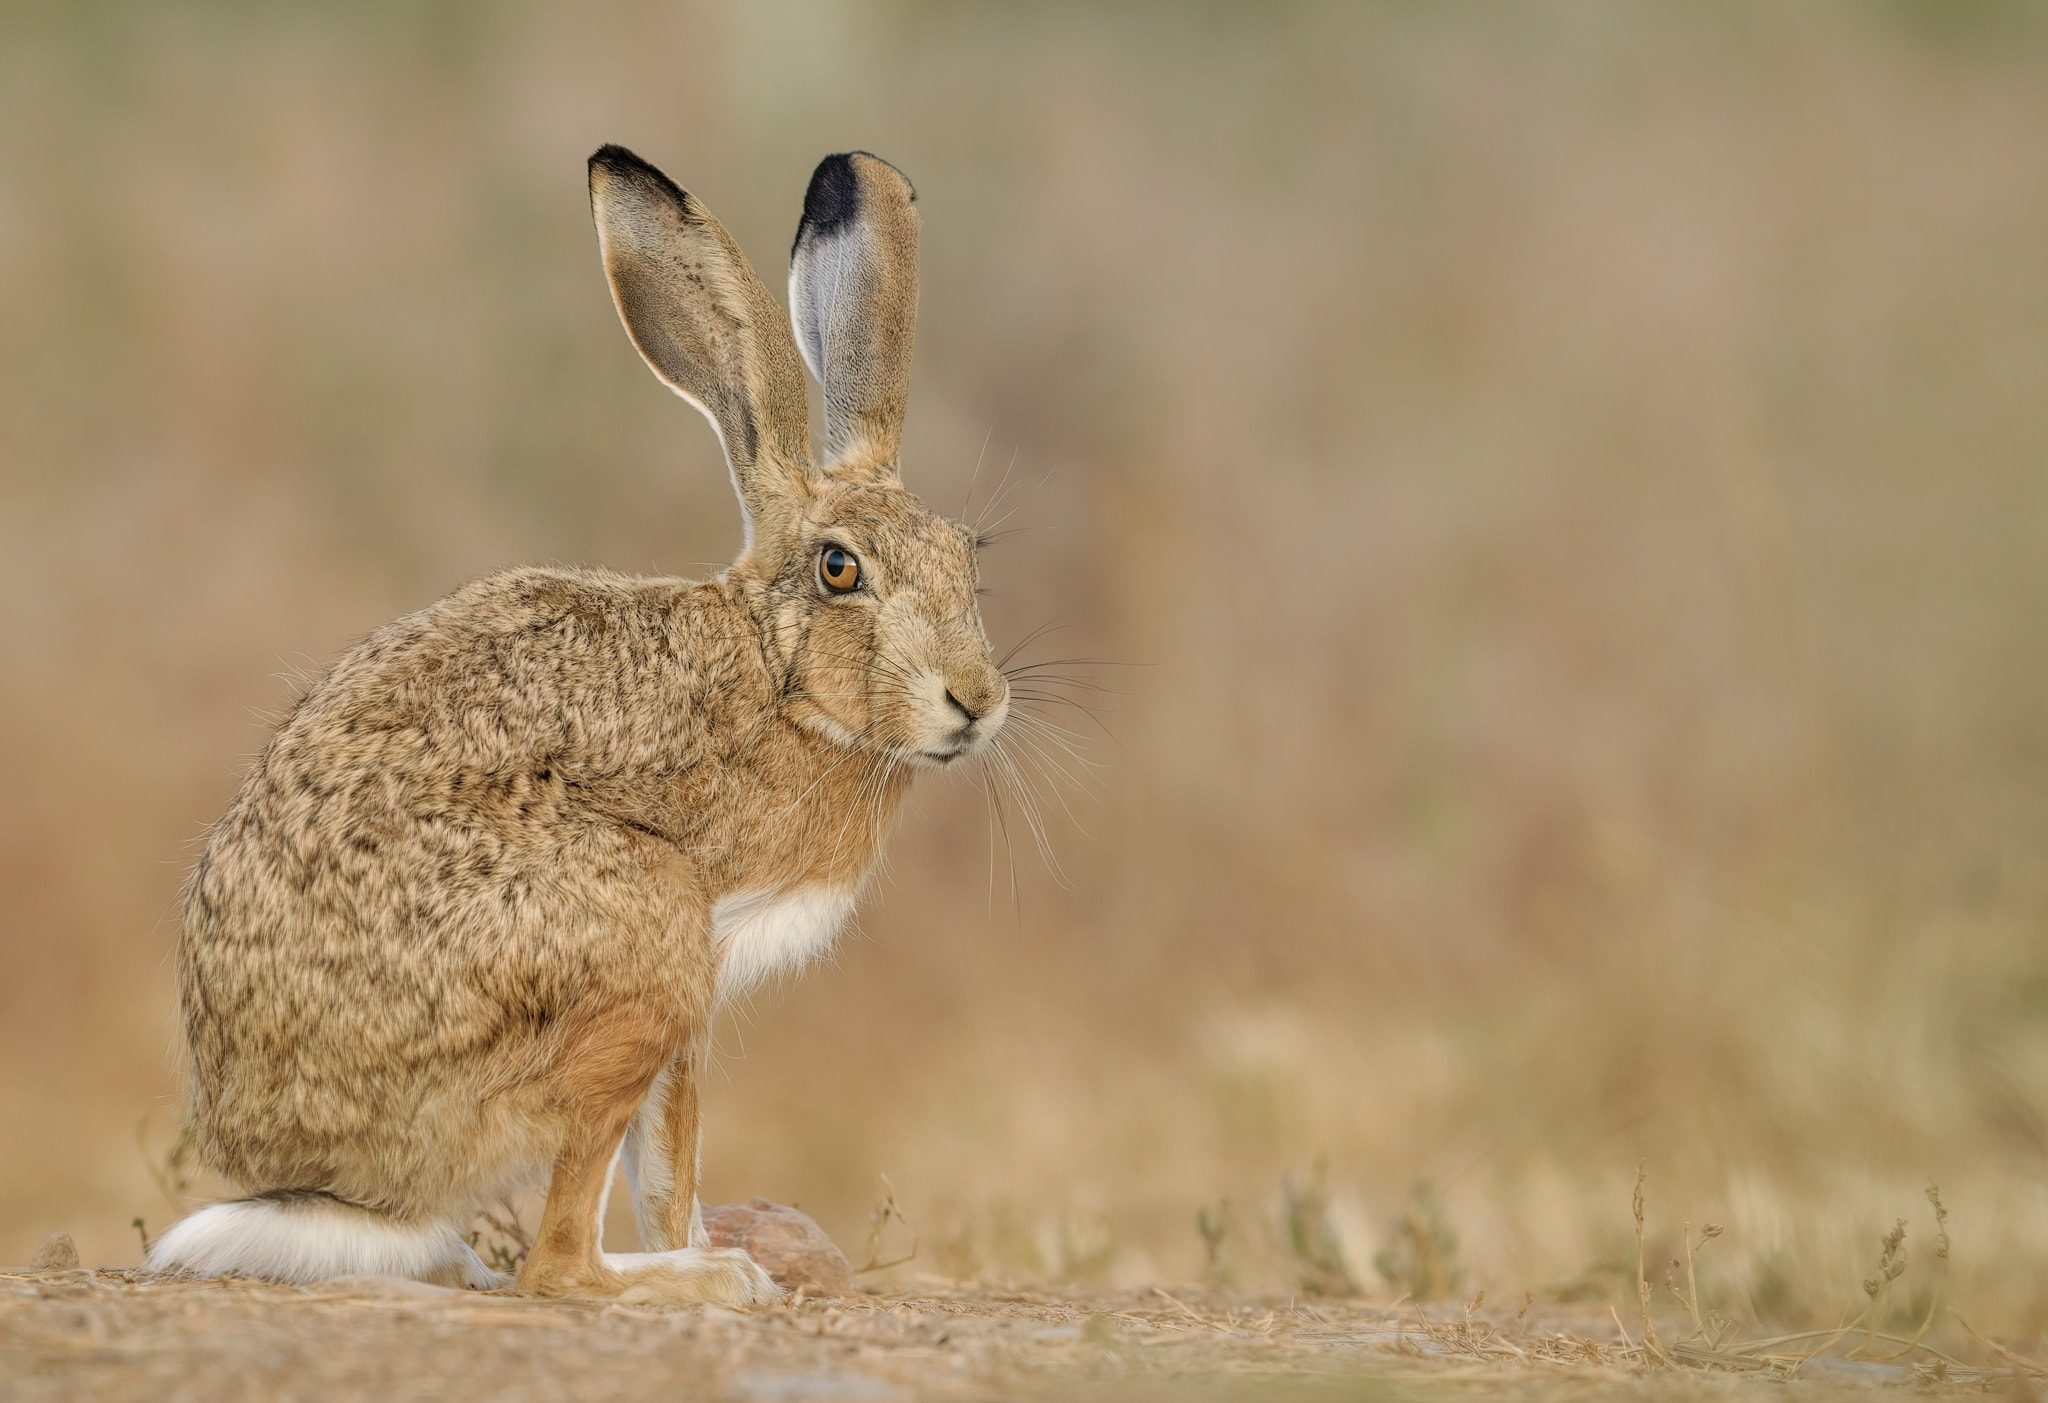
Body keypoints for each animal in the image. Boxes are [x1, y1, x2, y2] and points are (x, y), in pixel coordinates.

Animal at [143, 145, 1009, 1304]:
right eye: (840, 568)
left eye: (969, 555)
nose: (975, 699)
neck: (777, 675)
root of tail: (323, 1186)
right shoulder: (700, 961)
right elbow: (673, 1148)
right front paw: (706, 1251)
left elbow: (668, 1161)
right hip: (635, 943)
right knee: (556, 1267)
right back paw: (699, 1281)